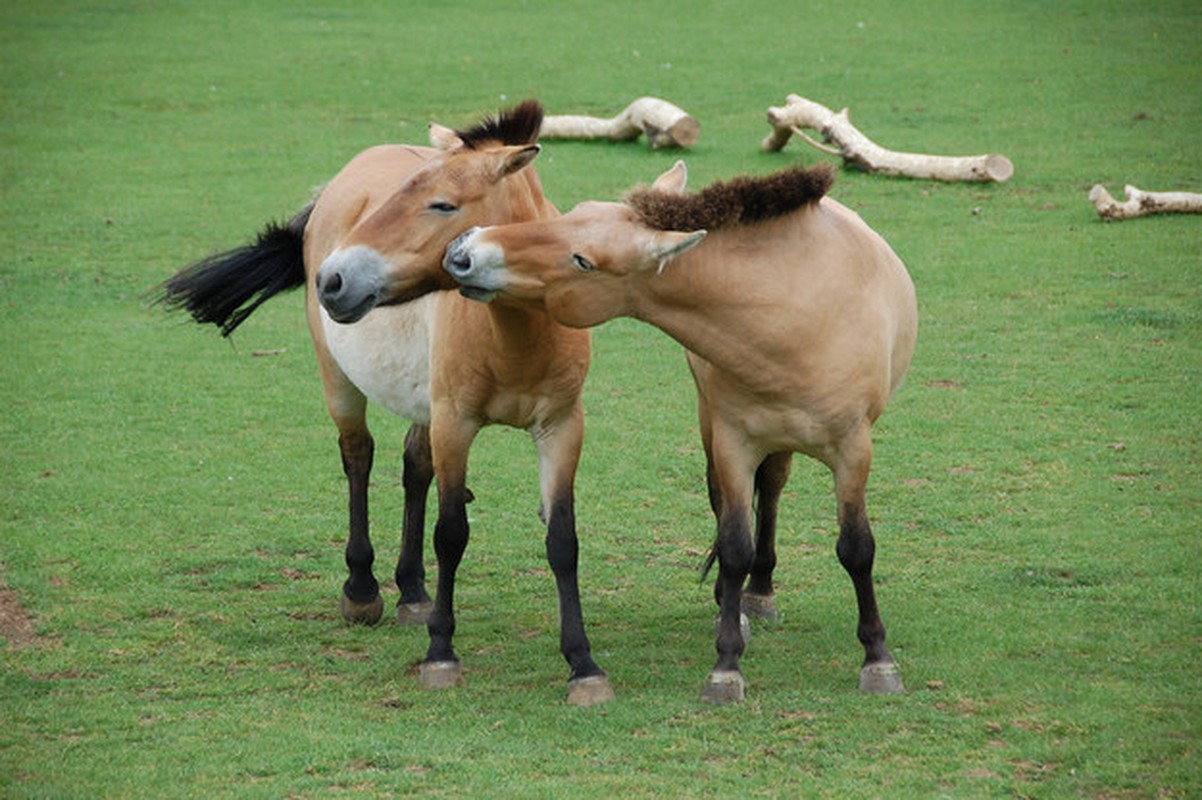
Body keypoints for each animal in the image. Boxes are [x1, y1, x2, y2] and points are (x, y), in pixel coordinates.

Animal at [162, 101, 610, 706]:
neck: (517, 334)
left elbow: (561, 540)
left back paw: (414, 592)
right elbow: (452, 534)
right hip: (343, 385)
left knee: (413, 467)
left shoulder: (560, 428)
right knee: (359, 456)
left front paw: (583, 665)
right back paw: (362, 590)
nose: (333, 278)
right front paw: (441, 654)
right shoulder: (455, 424)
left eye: (442, 203)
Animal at [444, 160, 918, 696]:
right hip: (714, 423)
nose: (464, 251)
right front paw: (727, 663)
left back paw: (761, 593)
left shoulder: (853, 448)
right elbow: (734, 546)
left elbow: (857, 548)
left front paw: (878, 659)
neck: (793, 316)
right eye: (573, 212)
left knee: (774, 490)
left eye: (583, 260)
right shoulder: (734, 443)